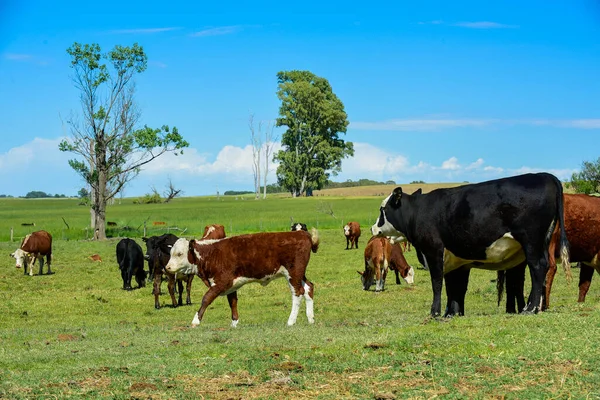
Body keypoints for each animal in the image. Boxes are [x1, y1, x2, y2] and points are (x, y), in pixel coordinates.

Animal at [165, 230, 318, 326]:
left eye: (179, 254)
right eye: (171, 253)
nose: (167, 267)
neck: (211, 254)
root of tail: (301, 233)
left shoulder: (222, 282)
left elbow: (206, 299)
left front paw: (196, 321)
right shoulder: (231, 285)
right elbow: (232, 302)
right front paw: (234, 323)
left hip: (293, 273)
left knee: (298, 292)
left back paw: (291, 321)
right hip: (299, 274)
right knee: (308, 287)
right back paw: (310, 319)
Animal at [370, 173, 572, 318]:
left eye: (383, 209)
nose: (373, 228)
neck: (419, 211)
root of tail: (546, 176)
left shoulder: (433, 251)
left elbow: (437, 283)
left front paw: (435, 312)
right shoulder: (456, 260)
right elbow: (455, 287)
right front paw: (452, 312)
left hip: (531, 242)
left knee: (538, 268)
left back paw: (530, 308)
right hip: (541, 242)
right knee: (544, 268)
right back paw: (535, 307)